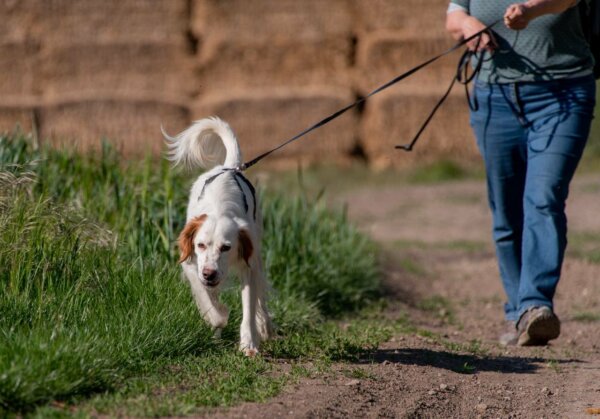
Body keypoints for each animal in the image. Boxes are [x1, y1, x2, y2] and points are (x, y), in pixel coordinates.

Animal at [165, 118, 276, 358]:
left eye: (226, 247)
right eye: (200, 245)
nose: (210, 273)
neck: (219, 205)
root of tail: (229, 167)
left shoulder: (248, 266)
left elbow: (249, 307)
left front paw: (249, 344)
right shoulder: (191, 264)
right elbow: (207, 300)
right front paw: (219, 317)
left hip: (257, 255)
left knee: (260, 296)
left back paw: (265, 326)